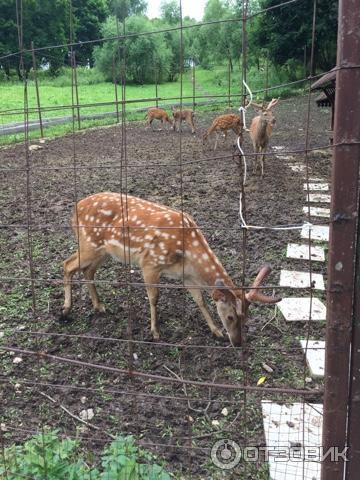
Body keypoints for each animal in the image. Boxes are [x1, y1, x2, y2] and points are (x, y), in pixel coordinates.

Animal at [62, 191, 282, 344]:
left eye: (246, 318)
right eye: (230, 316)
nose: (237, 343)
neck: (188, 253)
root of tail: (74, 210)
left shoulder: (186, 276)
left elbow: (200, 300)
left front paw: (216, 331)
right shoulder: (149, 263)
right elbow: (154, 298)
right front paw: (155, 332)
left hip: (104, 251)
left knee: (87, 270)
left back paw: (99, 306)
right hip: (89, 244)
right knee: (67, 264)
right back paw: (66, 308)